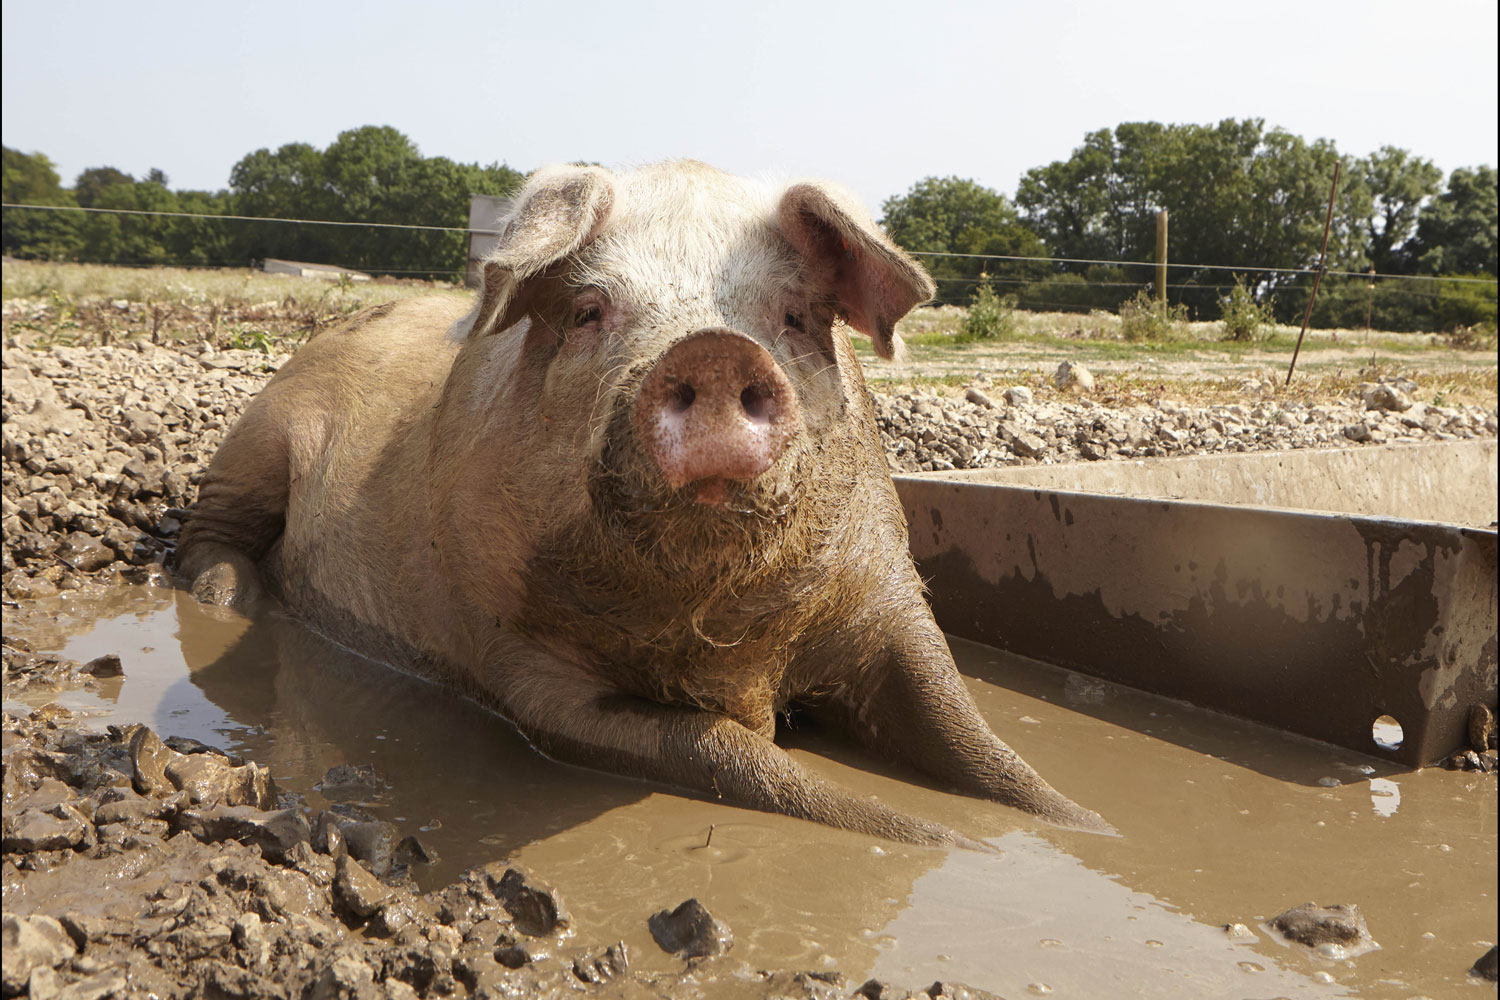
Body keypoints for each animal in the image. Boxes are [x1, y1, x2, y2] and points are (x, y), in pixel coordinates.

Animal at [178, 161, 1107, 846]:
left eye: (794, 315)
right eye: (590, 309)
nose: (717, 350)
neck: (726, 640)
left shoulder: (887, 589)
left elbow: (977, 738)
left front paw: (1091, 830)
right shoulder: (519, 666)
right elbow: (731, 754)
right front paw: (938, 838)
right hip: (257, 434)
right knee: (205, 533)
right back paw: (231, 598)